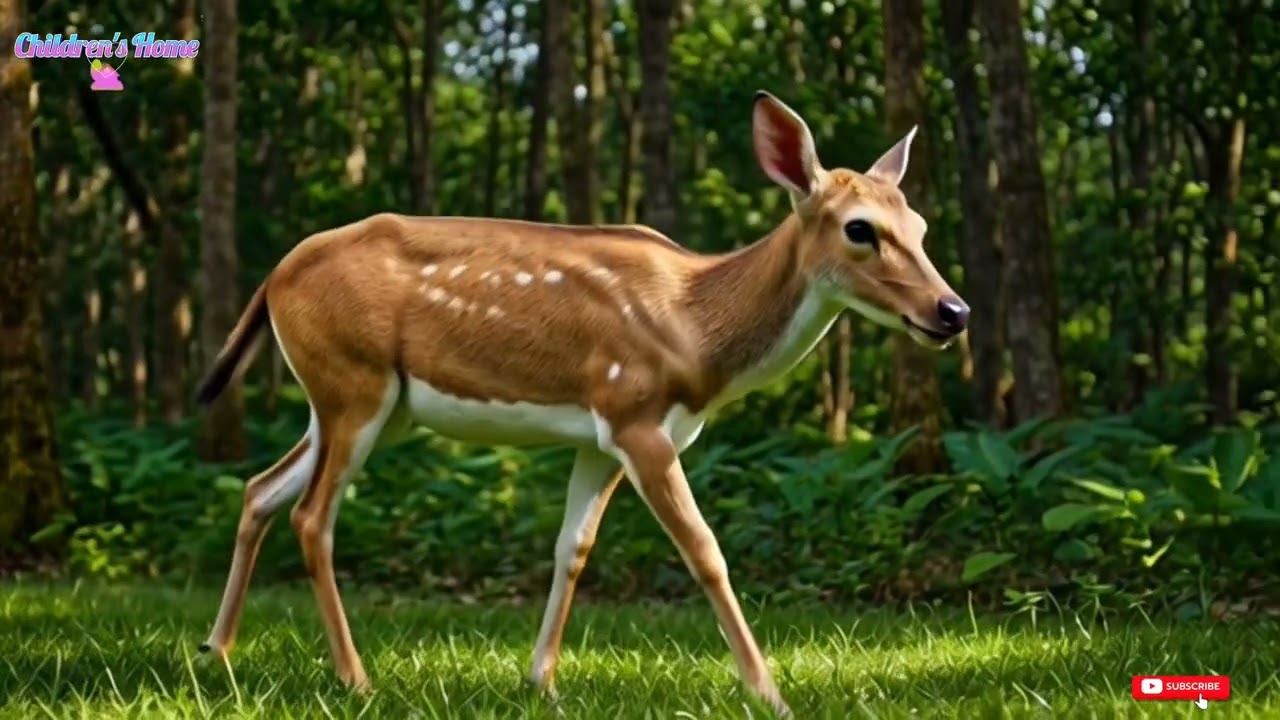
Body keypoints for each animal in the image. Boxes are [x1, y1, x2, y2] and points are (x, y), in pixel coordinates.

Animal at [193, 91, 968, 716]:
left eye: (922, 228)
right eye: (860, 228)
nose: (952, 311)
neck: (696, 330)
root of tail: (273, 277)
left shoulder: (599, 440)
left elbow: (574, 547)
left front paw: (542, 681)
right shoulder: (635, 413)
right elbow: (704, 549)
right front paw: (770, 693)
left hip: (361, 404)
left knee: (262, 488)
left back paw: (217, 651)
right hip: (354, 382)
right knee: (311, 514)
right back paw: (355, 679)